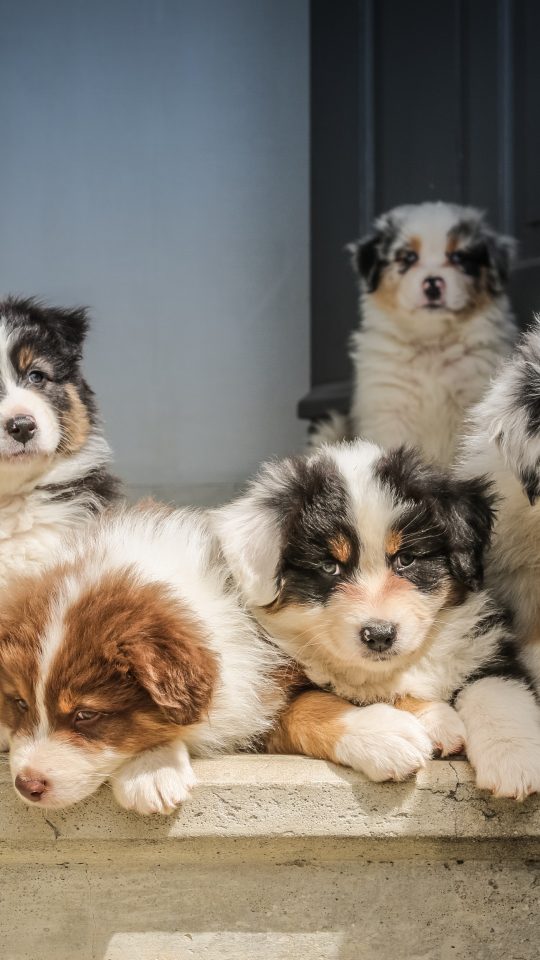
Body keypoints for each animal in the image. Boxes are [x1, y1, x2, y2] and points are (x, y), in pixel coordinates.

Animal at [215, 438, 540, 800]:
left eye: (406, 559)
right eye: (329, 567)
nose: (380, 635)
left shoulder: (486, 644)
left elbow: (496, 689)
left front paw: (514, 758)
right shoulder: (256, 707)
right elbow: (309, 704)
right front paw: (391, 734)